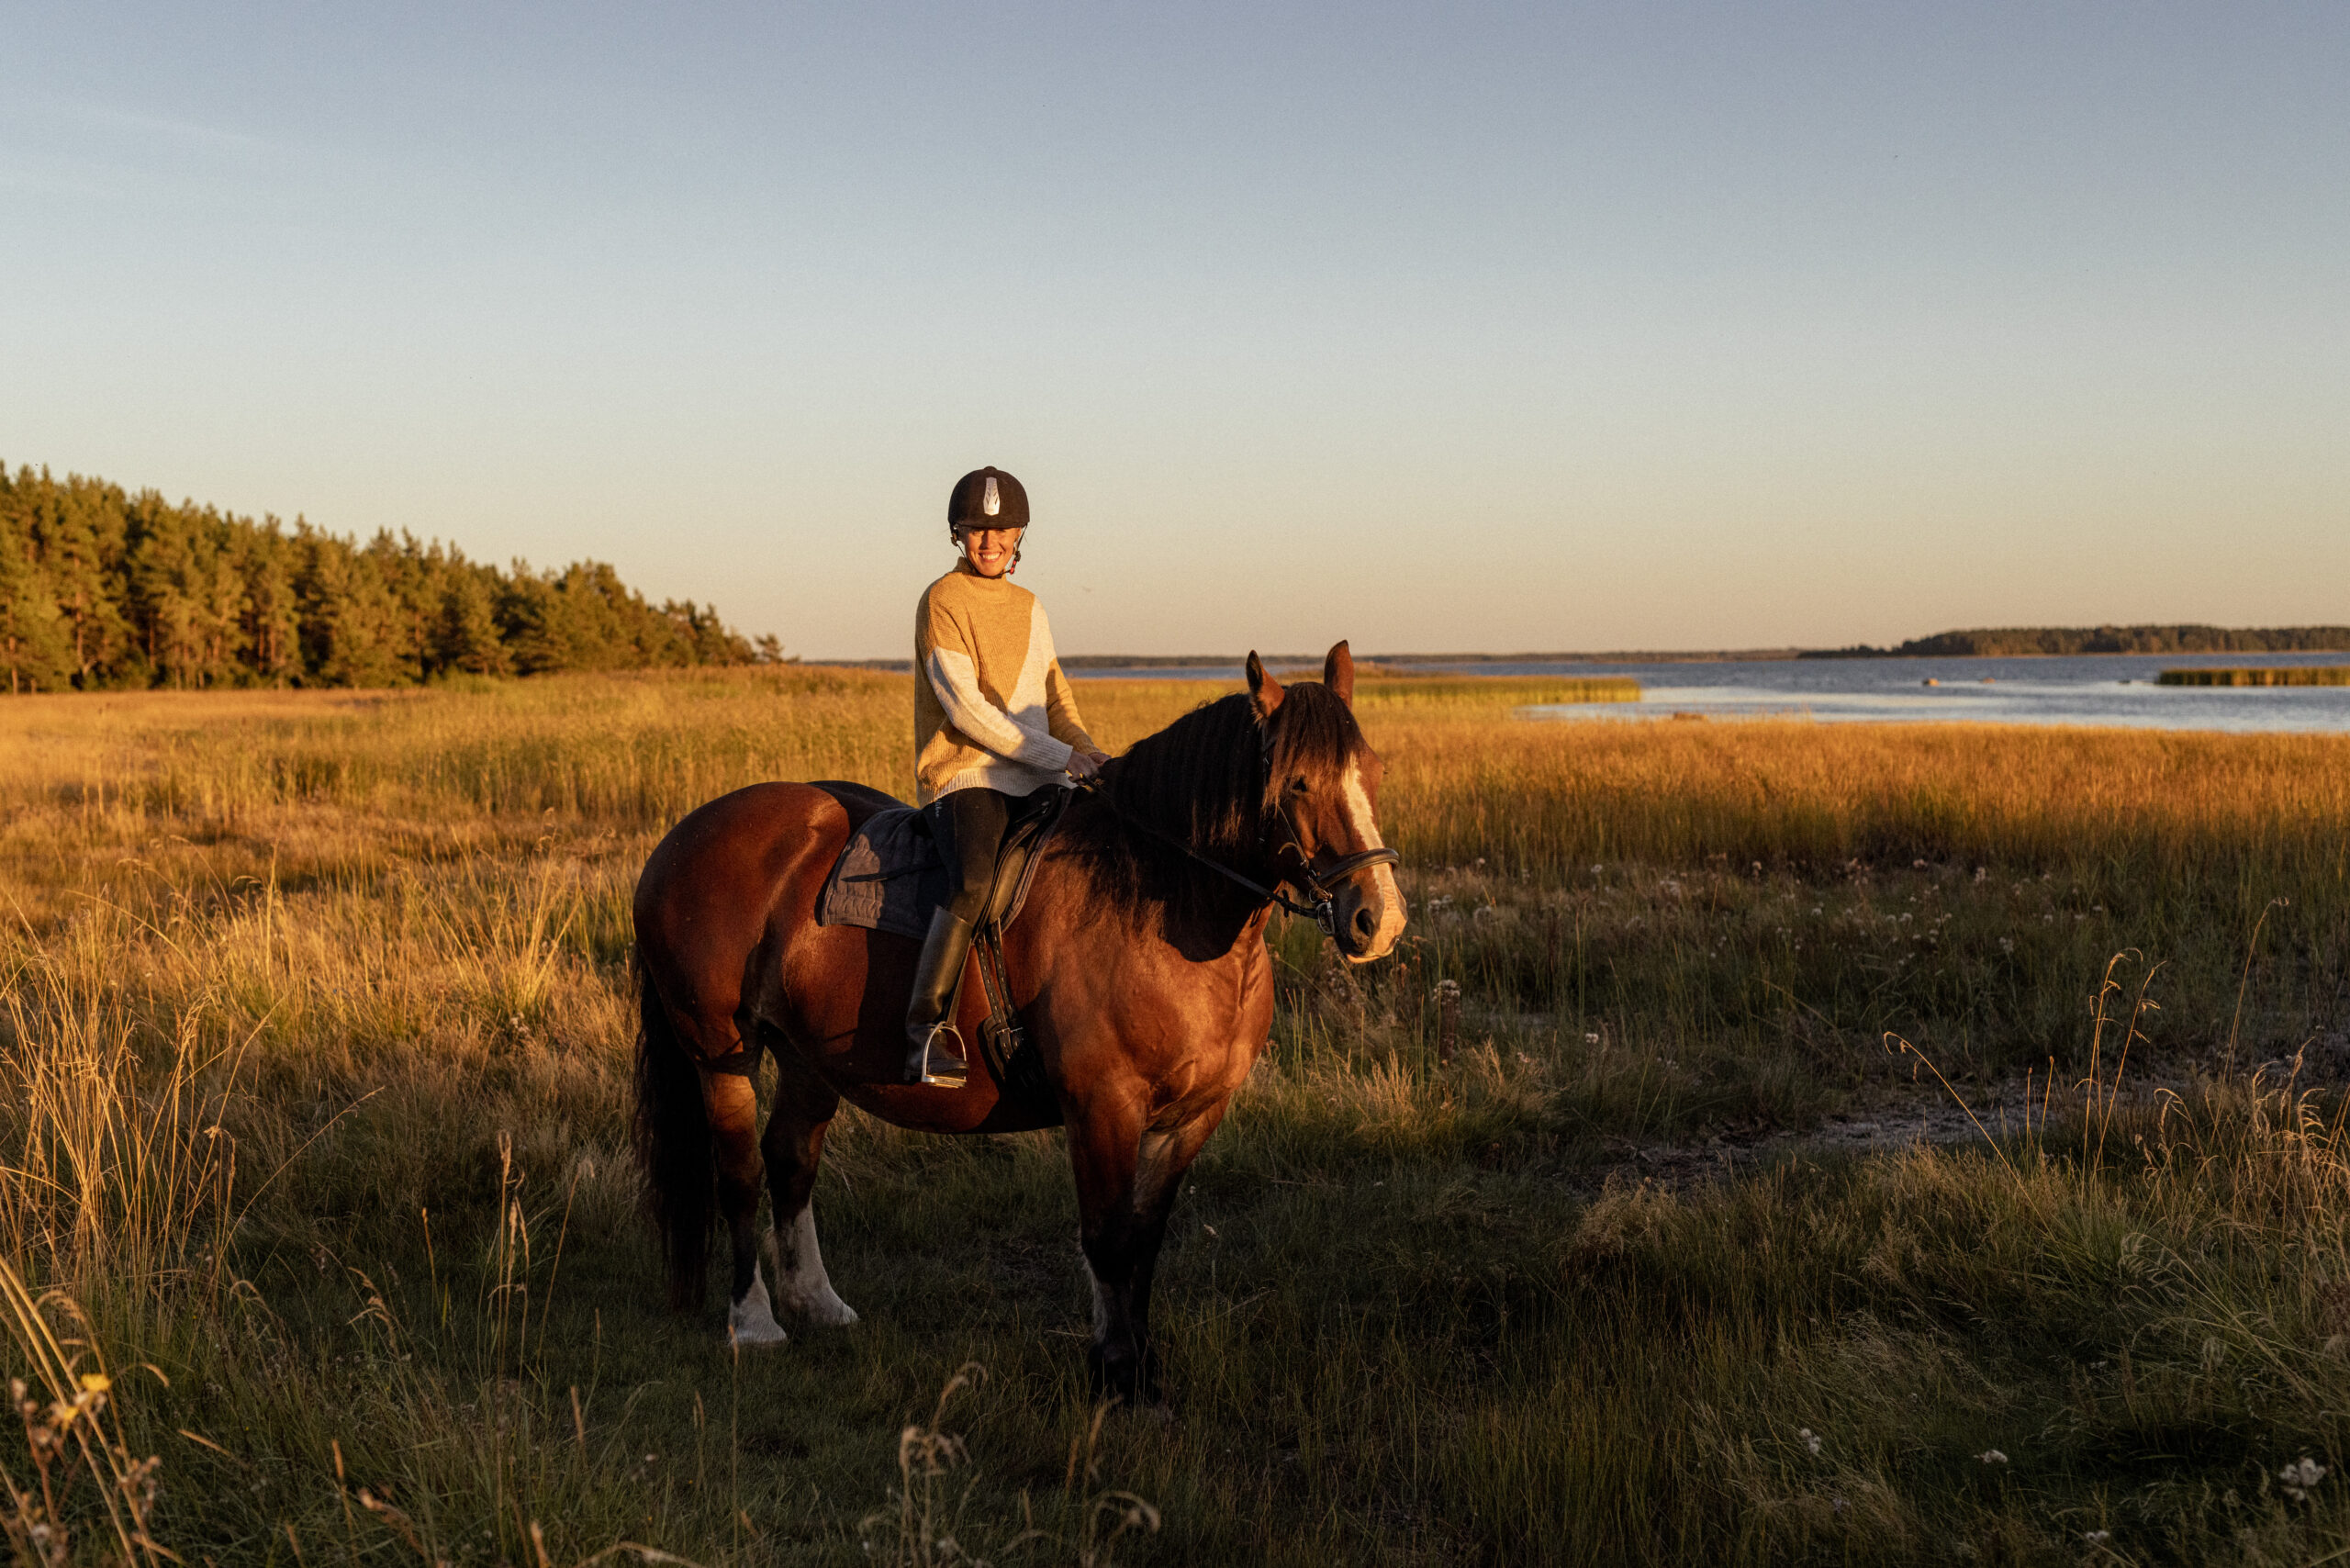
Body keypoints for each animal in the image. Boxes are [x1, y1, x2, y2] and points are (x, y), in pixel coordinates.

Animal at [624, 644, 1400, 1401]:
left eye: (1373, 770)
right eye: (1297, 783)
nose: (1378, 920)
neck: (1160, 907)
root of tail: (685, 837)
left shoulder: (1193, 1115)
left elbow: (1144, 1240)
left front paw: (1142, 1363)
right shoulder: (1102, 1106)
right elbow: (1108, 1239)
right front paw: (1116, 1372)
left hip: (808, 1058)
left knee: (791, 1160)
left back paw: (818, 1305)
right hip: (721, 1053)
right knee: (741, 1173)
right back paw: (754, 1322)